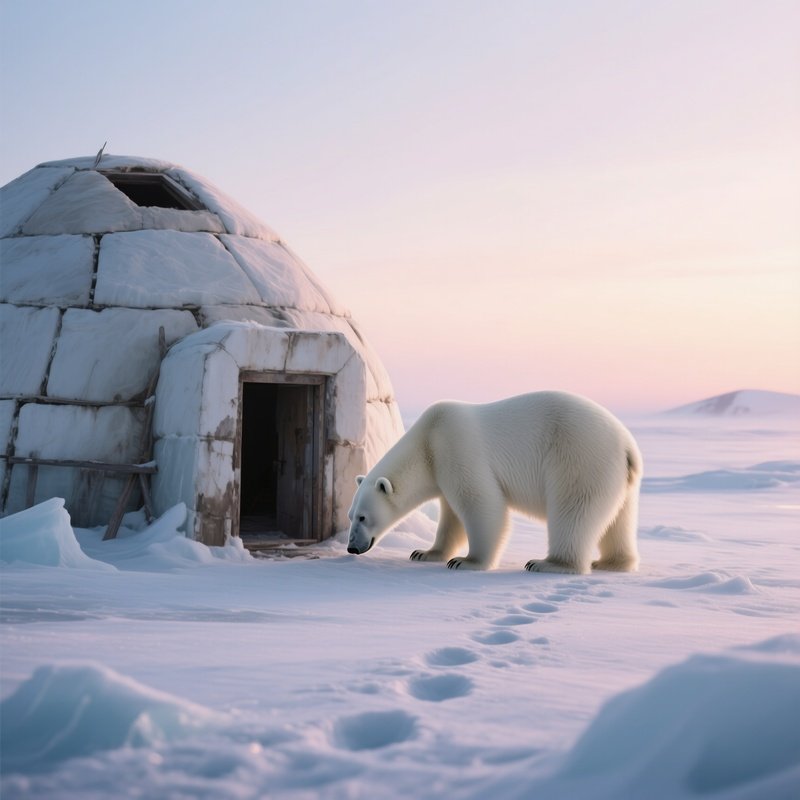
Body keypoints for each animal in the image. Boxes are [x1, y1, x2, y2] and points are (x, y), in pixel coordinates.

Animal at [347, 391, 642, 573]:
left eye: (363, 517)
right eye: (350, 515)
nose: (352, 547)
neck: (427, 441)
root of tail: (628, 447)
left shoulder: (457, 448)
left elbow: (481, 503)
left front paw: (465, 561)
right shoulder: (441, 469)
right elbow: (451, 517)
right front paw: (424, 553)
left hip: (580, 458)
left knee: (573, 510)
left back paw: (547, 563)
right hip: (617, 477)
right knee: (618, 519)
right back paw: (612, 562)